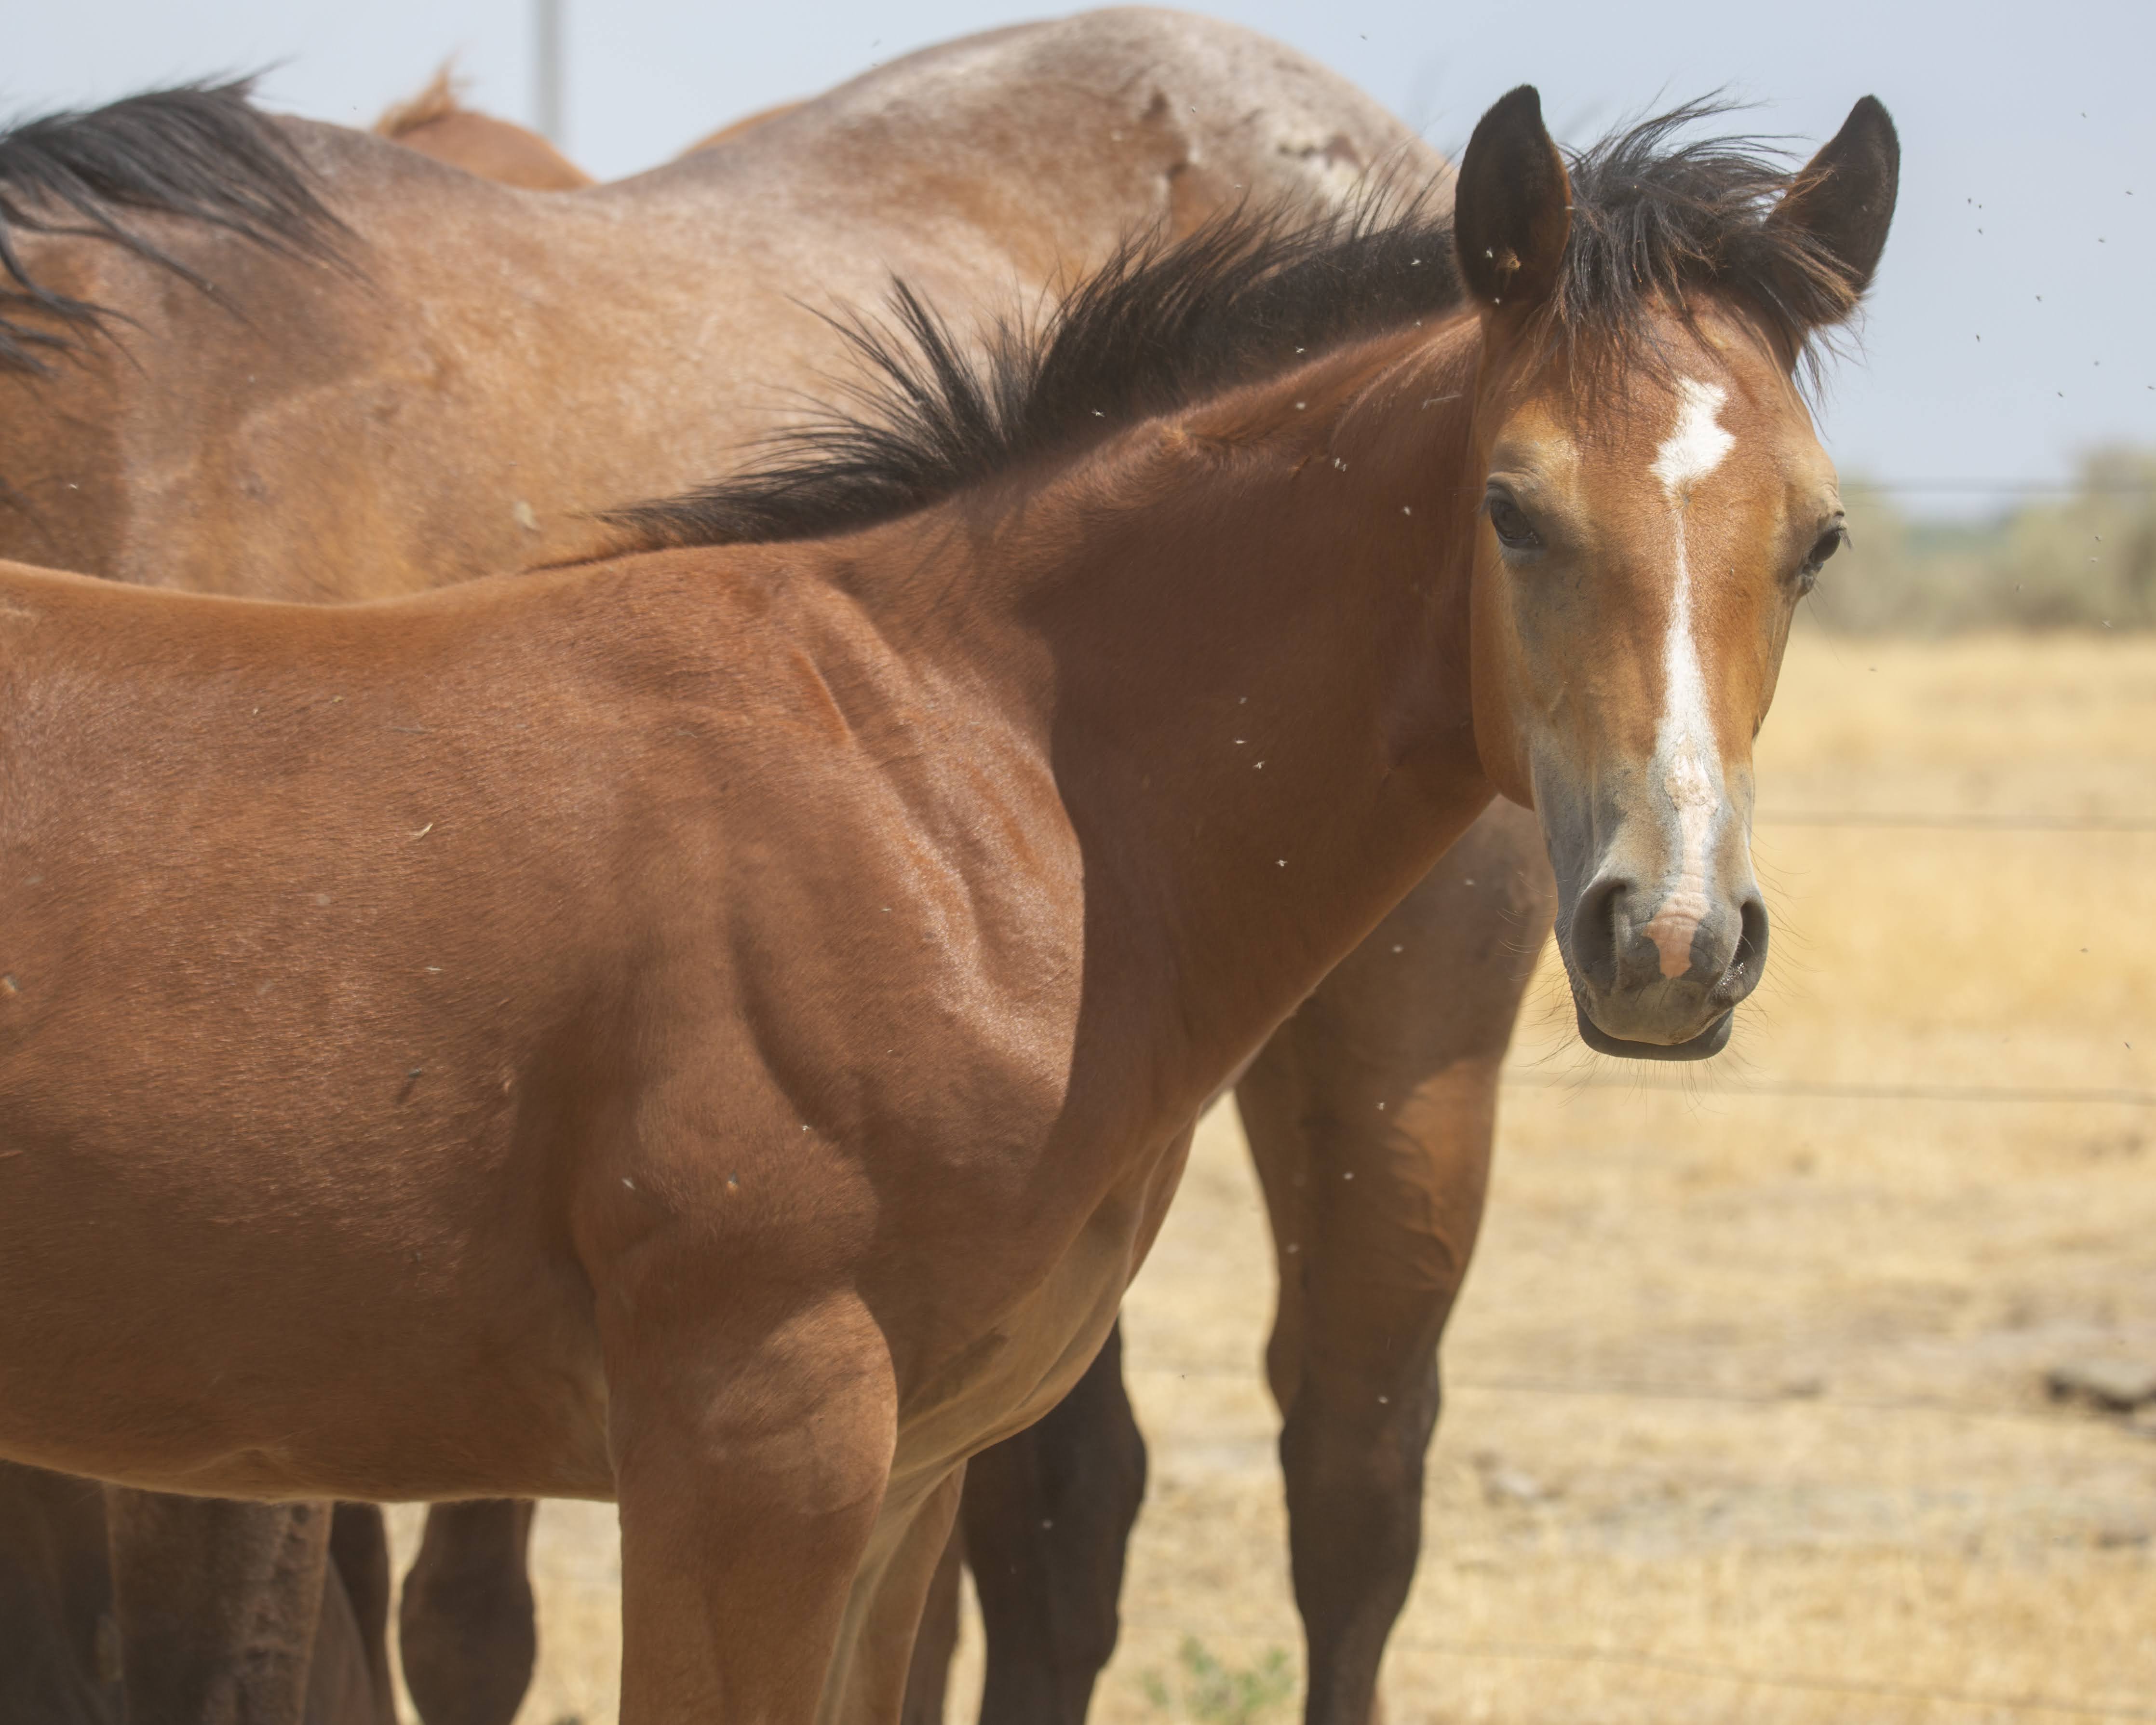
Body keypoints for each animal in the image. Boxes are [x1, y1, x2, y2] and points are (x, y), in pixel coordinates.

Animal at [0, 74, 1894, 1723]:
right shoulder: (755, 1451)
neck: (960, 787)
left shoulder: (901, 1480)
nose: (1672, 937)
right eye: (1509, 509)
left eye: (1815, 538)